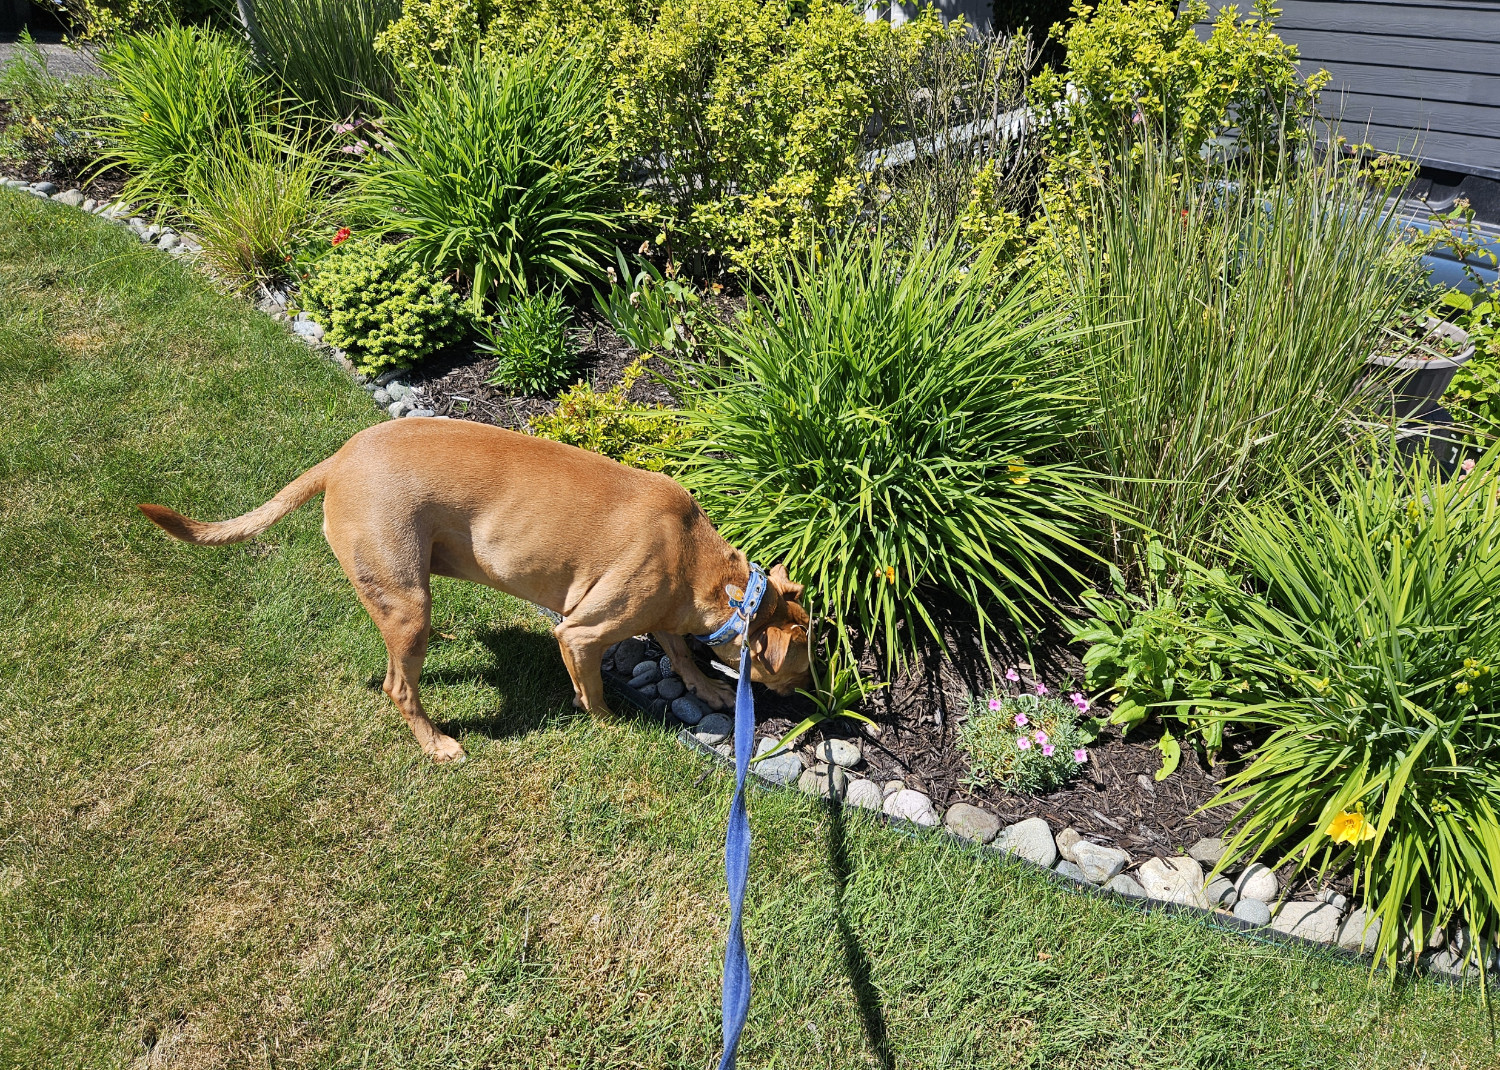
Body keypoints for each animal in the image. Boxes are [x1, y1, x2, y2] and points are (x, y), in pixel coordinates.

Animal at [143, 417, 810, 759]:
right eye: (804, 665)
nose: (813, 699)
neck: (709, 574)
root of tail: (338, 460)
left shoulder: (665, 613)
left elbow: (678, 651)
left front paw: (707, 687)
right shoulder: (581, 631)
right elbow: (595, 691)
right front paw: (608, 723)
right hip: (406, 600)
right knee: (399, 687)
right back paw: (437, 742)